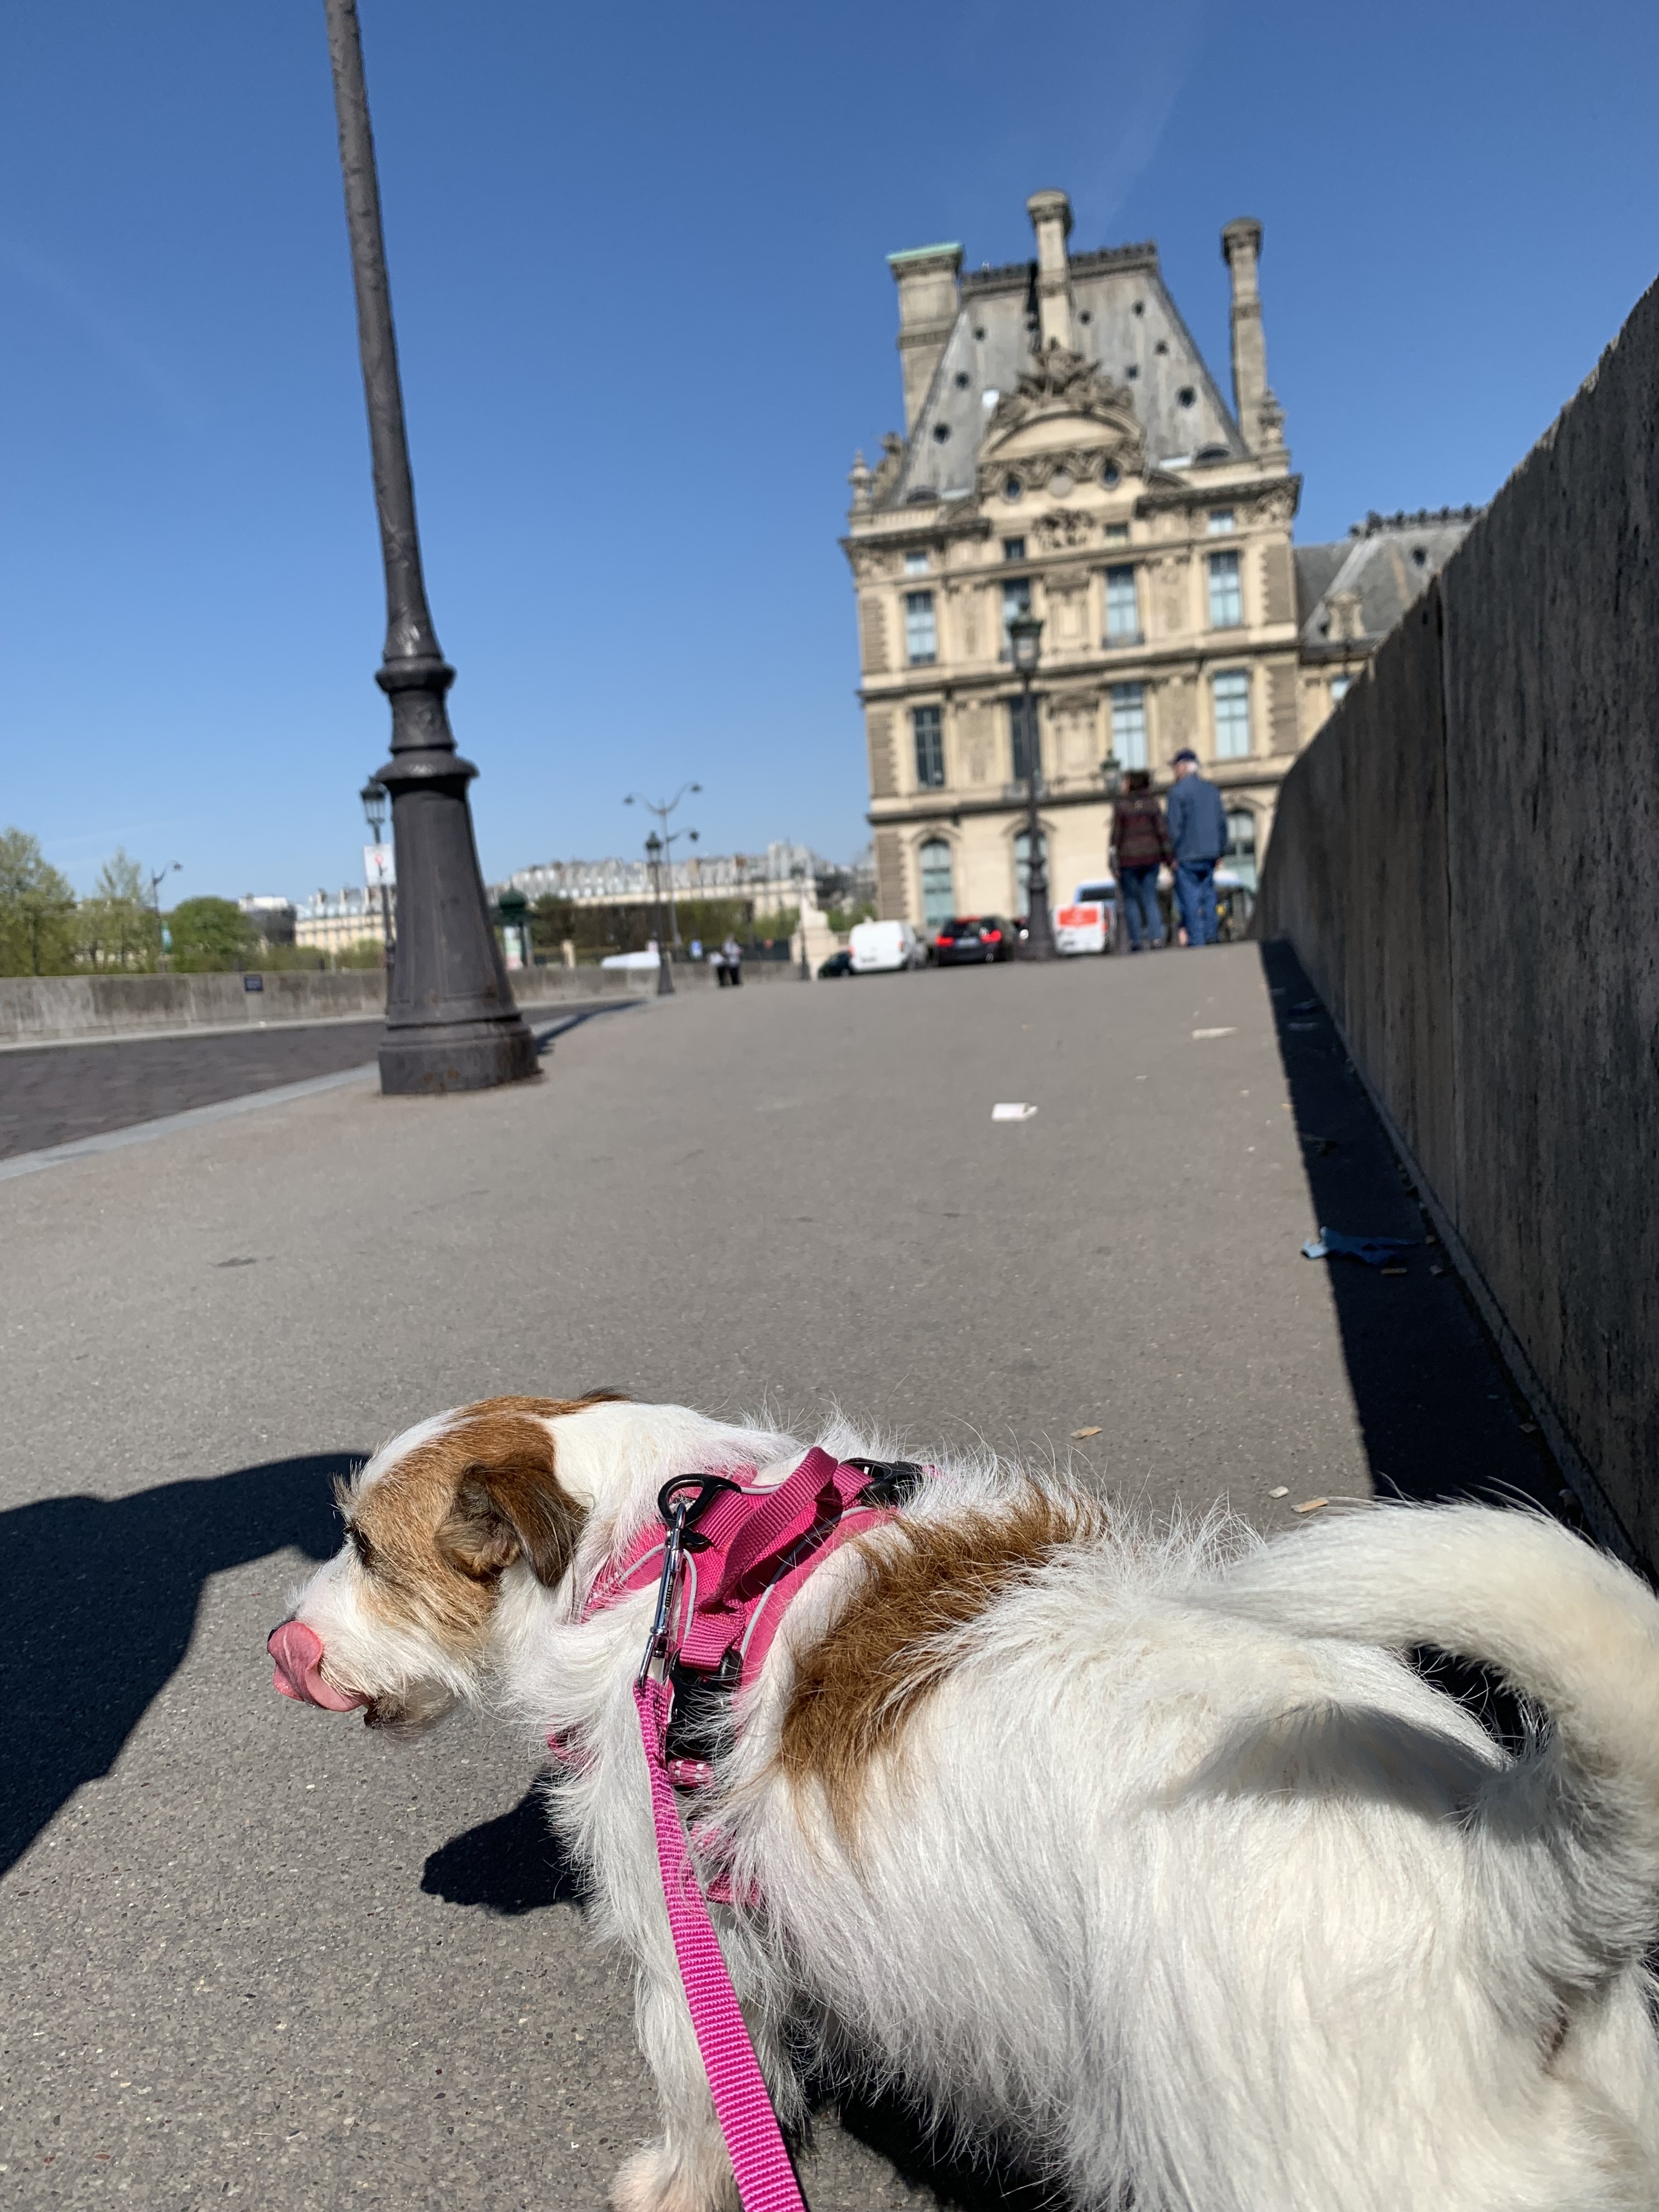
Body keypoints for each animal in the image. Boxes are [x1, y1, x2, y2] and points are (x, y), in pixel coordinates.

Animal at [268, 1394, 1659, 2211]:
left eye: (371, 1552)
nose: (279, 1644)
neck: (663, 1549)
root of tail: (1516, 1898)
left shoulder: (689, 1942)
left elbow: (700, 2080)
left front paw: (677, 2181)